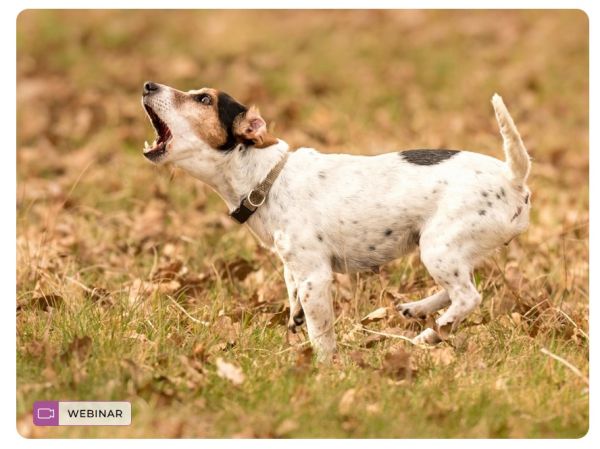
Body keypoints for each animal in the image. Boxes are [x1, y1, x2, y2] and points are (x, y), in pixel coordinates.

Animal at [141, 81, 528, 360]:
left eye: (203, 99)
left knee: (468, 297)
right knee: (457, 289)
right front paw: (296, 317)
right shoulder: (294, 267)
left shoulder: (315, 275)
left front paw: (324, 366)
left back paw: (433, 332)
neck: (267, 177)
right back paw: (417, 310)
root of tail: (514, 178)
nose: (148, 85)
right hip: (449, 250)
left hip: (438, 248)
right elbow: (294, 295)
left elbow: (320, 332)